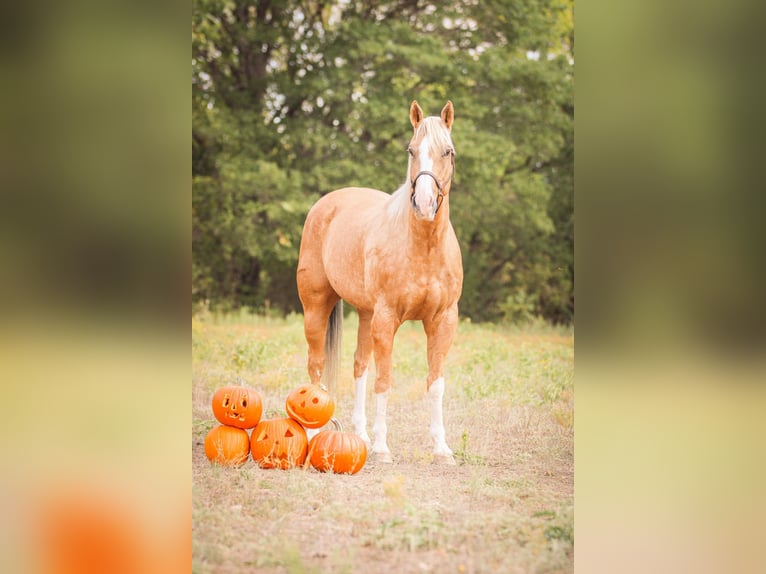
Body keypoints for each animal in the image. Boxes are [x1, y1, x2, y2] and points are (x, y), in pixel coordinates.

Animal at [298, 101, 462, 466]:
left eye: (448, 151)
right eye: (411, 150)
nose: (424, 204)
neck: (423, 247)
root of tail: (326, 204)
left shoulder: (443, 321)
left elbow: (436, 384)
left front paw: (441, 448)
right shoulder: (387, 319)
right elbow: (385, 381)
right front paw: (382, 447)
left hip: (365, 314)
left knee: (359, 365)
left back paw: (358, 434)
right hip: (316, 307)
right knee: (316, 366)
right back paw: (313, 436)